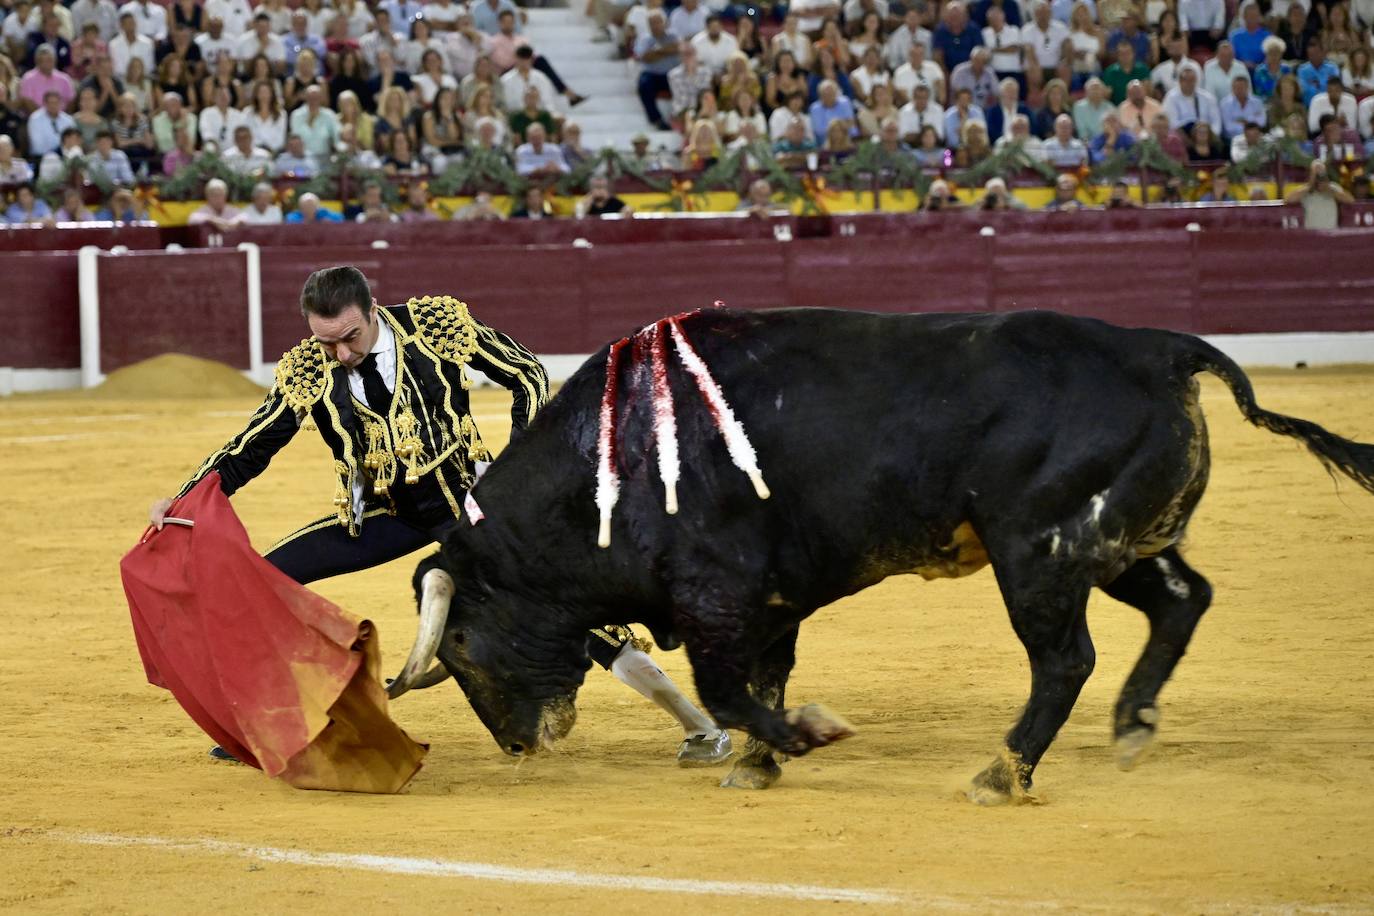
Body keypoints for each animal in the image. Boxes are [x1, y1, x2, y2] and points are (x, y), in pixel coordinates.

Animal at [390, 310, 1374, 802]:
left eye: (462, 644)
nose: (520, 744)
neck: (611, 466)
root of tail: (1160, 348)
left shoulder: (717, 594)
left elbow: (730, 687)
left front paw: (802, 738)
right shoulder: (767, 602)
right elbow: (763, 678)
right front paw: (759, 763)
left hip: (1040, 551)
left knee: (1064, 659)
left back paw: (1002, 773)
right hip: (1119, 541)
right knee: (1180, 600)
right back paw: (1132, 725)